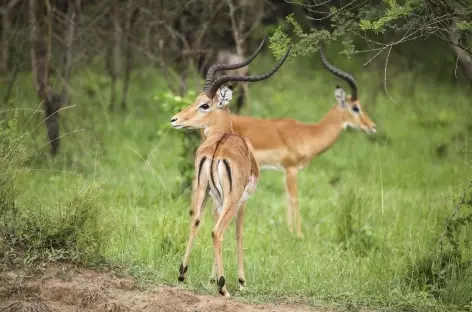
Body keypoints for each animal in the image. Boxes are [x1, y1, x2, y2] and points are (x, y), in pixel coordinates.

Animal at [170, 37, 292, 296]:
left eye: (203, 104)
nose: (174, 119)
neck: (224, 134)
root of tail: (217, 149)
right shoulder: (242, 201)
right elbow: (239, 234)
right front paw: (241, 281)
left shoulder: (217, 199)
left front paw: (210, 277)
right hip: (232, 199)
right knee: (218, 232)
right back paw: (224, 287)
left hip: (202, 190)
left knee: (196, 221)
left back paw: (182, 273)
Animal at [199, 45, 376, 238]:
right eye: (356, 108)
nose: (372, 126)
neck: (307, 134)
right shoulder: (291, 169)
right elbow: (294, 200)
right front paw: (299, 235)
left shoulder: (284, 171)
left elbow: (286, 201)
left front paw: (290, 232)